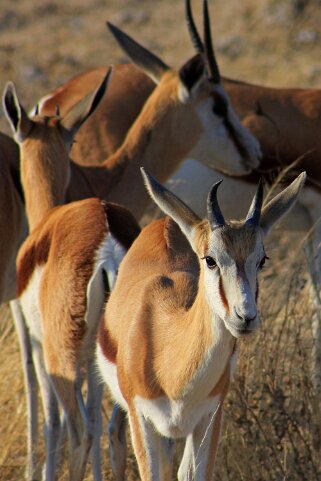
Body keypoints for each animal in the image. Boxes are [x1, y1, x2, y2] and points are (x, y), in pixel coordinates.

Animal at [97, 168, 304, 480]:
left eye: (262, 260)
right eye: (210, 259)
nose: (245, 317)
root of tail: (166, 222)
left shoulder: (209, 417)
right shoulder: (140, 418)